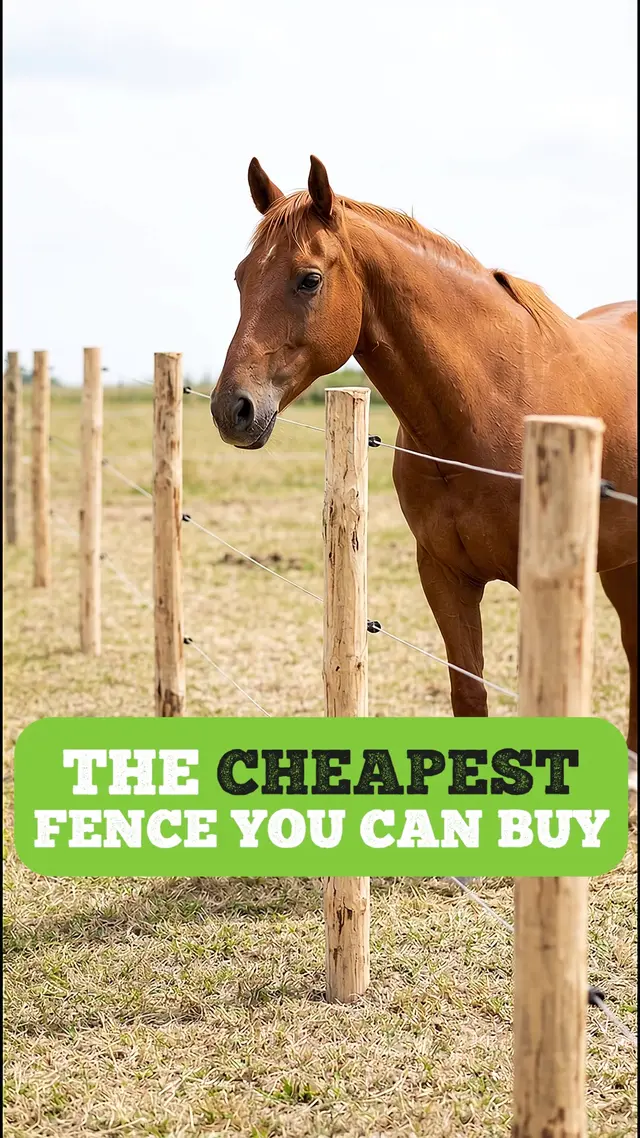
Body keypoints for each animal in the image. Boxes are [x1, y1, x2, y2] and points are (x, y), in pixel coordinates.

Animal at [210, 156, 637, 755]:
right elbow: (470, 696)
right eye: (240, 276)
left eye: (309, 279)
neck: (487, 405)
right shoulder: (443, 574)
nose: (233, 409)